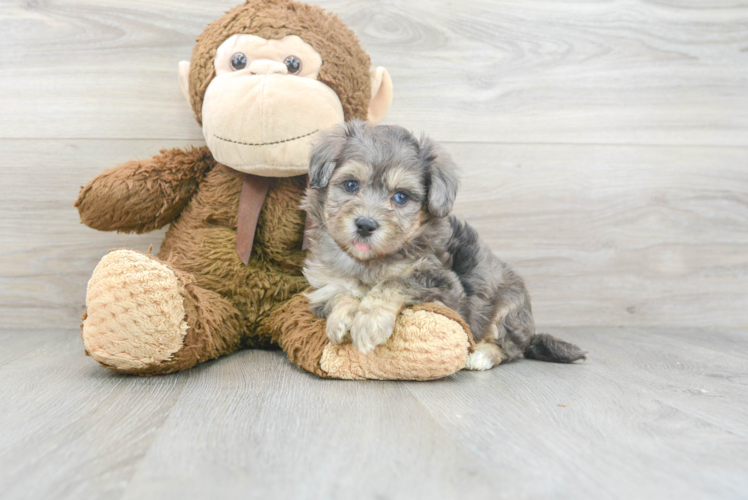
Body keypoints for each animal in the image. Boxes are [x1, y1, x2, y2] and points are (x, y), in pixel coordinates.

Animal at [300, 122, 580, 368]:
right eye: (351, 185)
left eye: (401, 197)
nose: (366, 225)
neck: (368, 262)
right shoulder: (324, 284)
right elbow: (339, 293)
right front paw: (341, 319)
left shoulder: (444, 284)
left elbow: (393, 282)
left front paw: (369, 322)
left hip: (508, 308)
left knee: (511, 349)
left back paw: (481, 356)